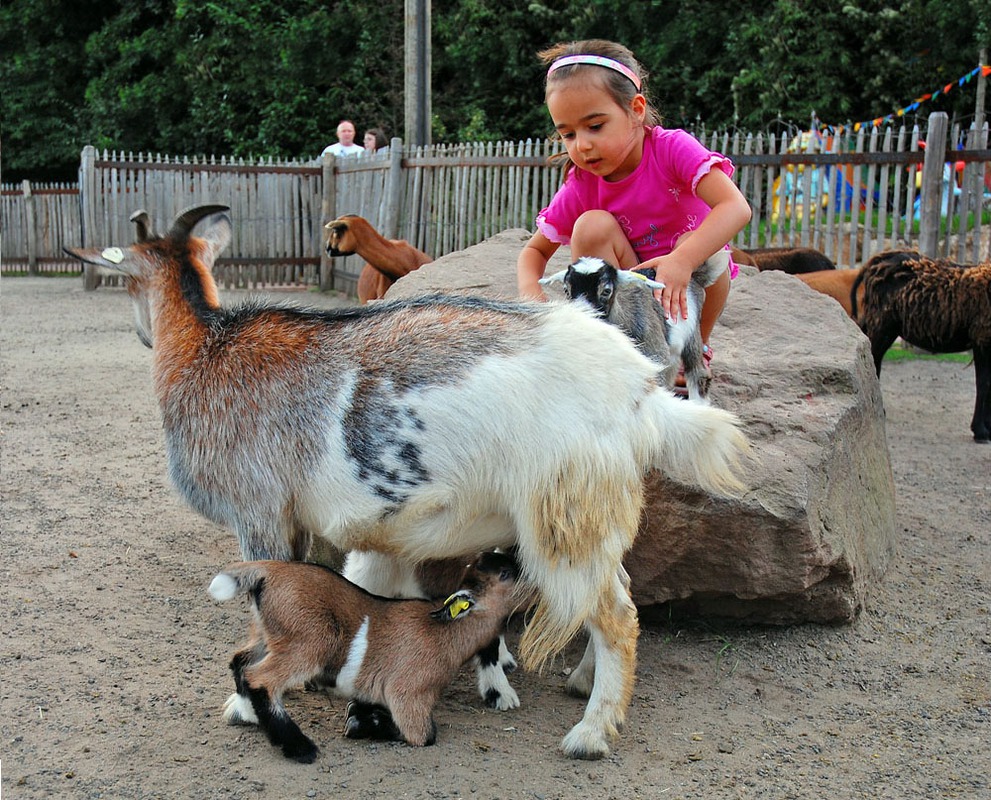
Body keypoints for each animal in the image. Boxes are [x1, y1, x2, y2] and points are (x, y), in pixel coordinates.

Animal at [208, 552, 520, 764]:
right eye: (505, 574)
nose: (520, 562)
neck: (445, 631)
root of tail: (268, 571)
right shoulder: (409, 694)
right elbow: (424, 734)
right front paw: (360, 724)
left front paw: (358, 713)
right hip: (311, 640)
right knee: (260, 678)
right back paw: (300, 748)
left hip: (267, 634)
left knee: (240, 661)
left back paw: (247, 714)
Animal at [544, 255, 728, 406]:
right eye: (566, 290)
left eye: (606, 291)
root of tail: (694, 276)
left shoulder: (655, 355)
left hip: (692, 335)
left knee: (698, 375)